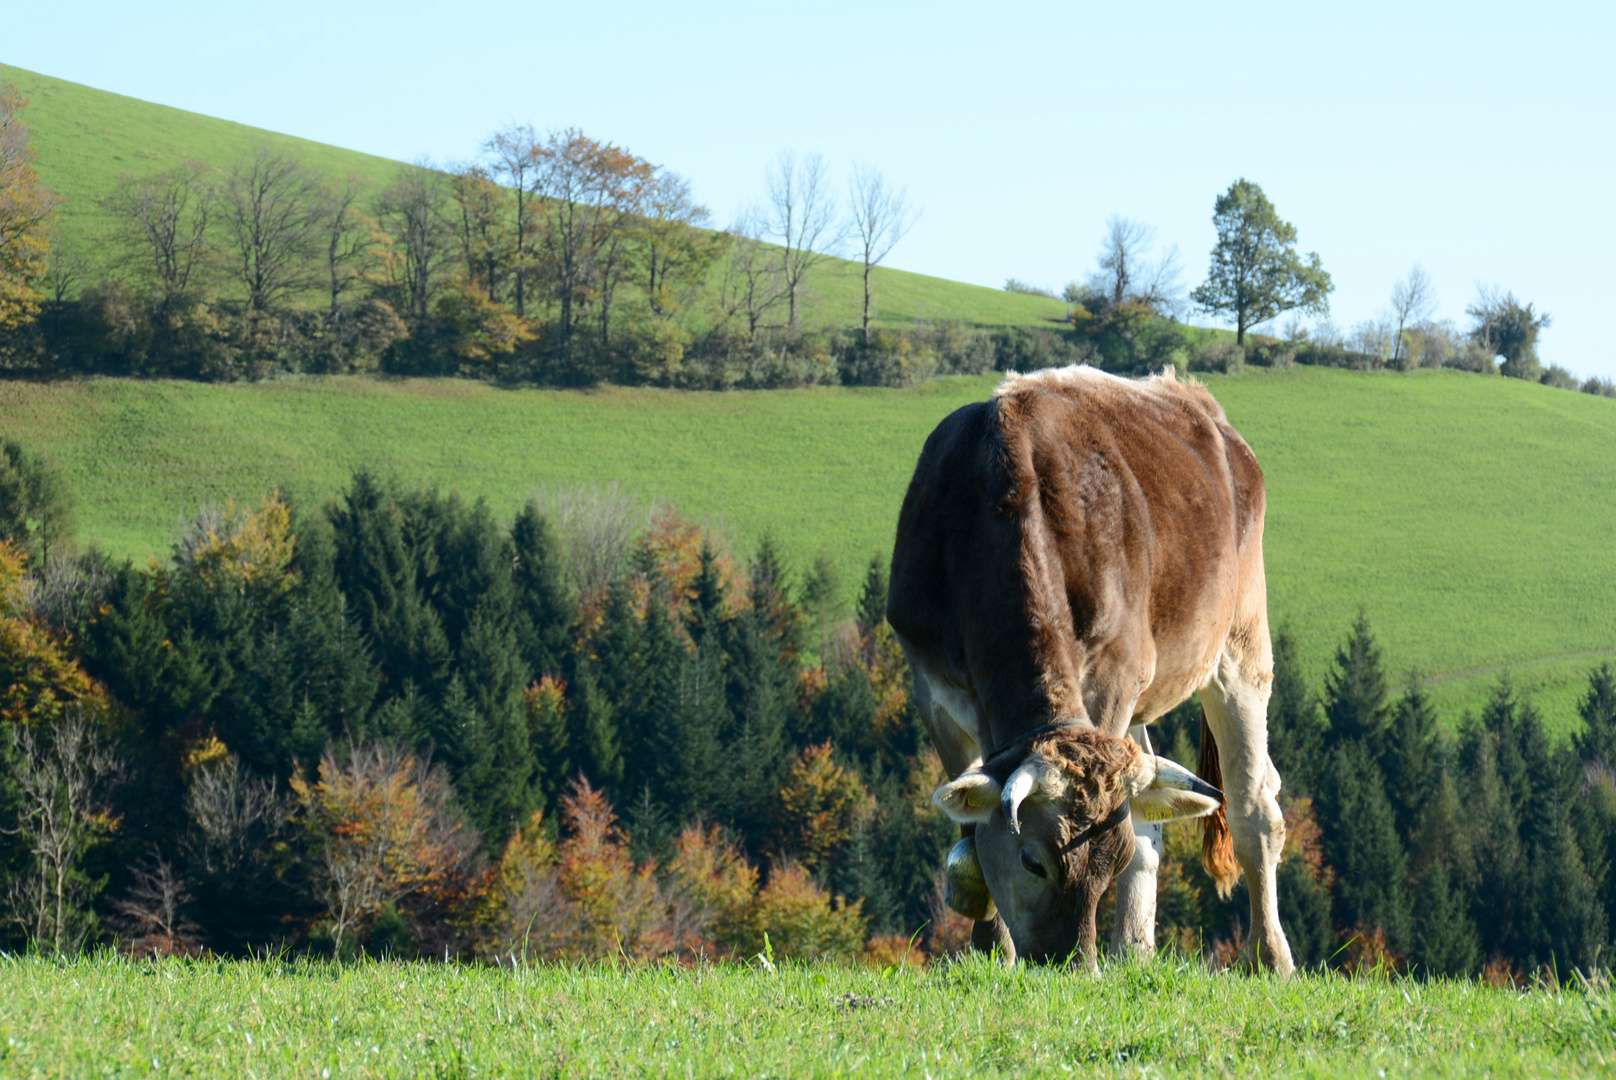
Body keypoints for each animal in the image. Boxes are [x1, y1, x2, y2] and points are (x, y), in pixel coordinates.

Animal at [892, 367, 1292, 976]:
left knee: (1254, 812)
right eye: (1033, 862)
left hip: (1241, 646)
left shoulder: (1111, 678)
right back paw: (1133, 951)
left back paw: (1270, 957)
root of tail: (1198, 400)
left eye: (1108, 861)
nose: (1070, 965)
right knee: (1153, 823)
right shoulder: (931, 690)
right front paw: (992, 951)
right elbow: (972, 826)